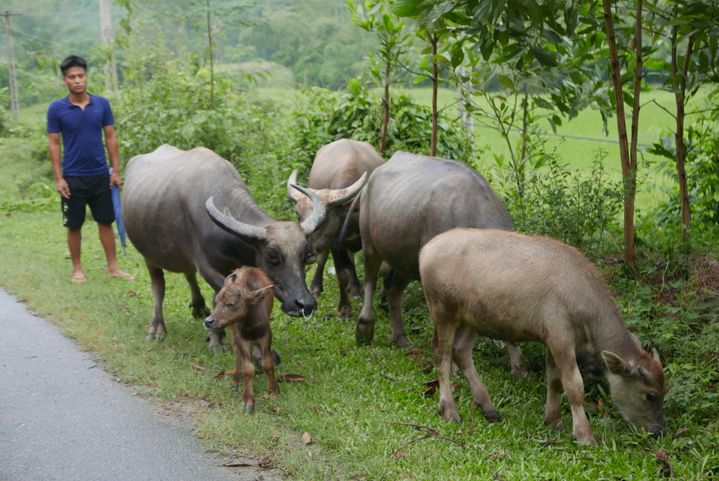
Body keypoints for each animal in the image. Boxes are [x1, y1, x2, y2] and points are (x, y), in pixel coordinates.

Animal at [122, 144, 348, 350]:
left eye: (305, 255)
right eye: (272, 256)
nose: (305, 304)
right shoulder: (206, 267)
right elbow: (218, 294)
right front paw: (217, 340)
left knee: (188, 273)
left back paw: (199, 307)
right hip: (149, 256)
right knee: (158, 286)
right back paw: (157, 328)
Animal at [205, 266, 278, 412]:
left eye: (230, 304)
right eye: (216, 301)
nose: (208, 321)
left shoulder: (266, 336)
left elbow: (268, 364)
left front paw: (273, 391)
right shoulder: (242, 338)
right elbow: (248, 369)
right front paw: (248, 402)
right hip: (234, 332)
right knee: (237, 354)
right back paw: (236, 382)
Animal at [290, 139, 386, 318]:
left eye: (324, 219)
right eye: (298, 215)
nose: (302, 252)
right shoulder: (335, 243)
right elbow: (341, 274)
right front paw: (344, 310)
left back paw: (355, 288)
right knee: (323, 258)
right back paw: (316, 287)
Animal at [358, 149, 524, 372]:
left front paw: (519, 366)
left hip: (407, 261)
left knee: (394, 290)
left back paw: (401, 339)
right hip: (369, 242)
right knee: (370, 279)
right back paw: (364, 327)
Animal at [420, 227, 668, 444]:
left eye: (664, 391)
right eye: (650, 395)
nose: (658, 431)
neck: (580, 295)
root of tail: (426, 249)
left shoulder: (551, 341)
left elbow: (554, 380)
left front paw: (553, 420)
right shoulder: (561, 340)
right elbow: (574, 386)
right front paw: (584, 435)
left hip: (471, 320)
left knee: (461, 351)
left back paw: (488, 407)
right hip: (443, 314)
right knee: (441, 357)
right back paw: (450, 410)